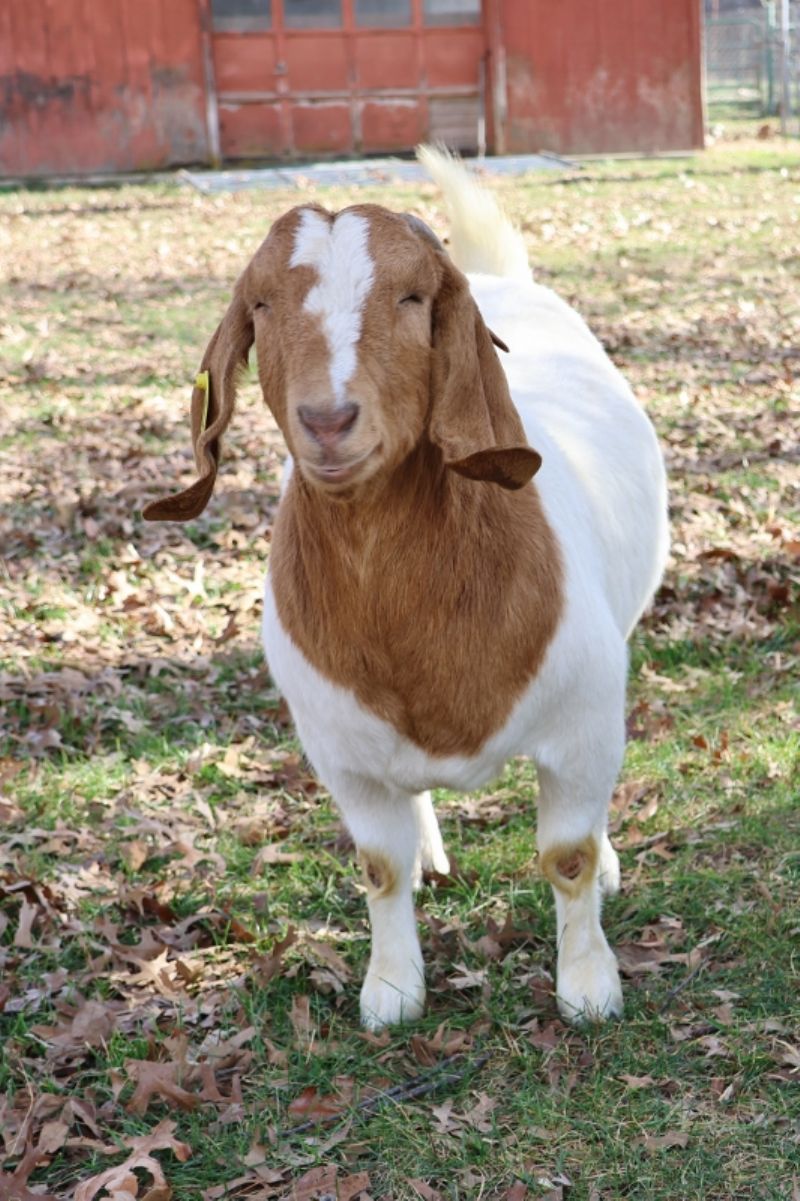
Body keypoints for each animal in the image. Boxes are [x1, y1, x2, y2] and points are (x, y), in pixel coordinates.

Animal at [145, 148, 669, 1030]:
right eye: (260, 305)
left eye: (414, 297)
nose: (328, 419)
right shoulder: (338, 752)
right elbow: (378, 868)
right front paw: (391, 991)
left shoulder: (584, 722)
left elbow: (566, 854)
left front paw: (589, 985)